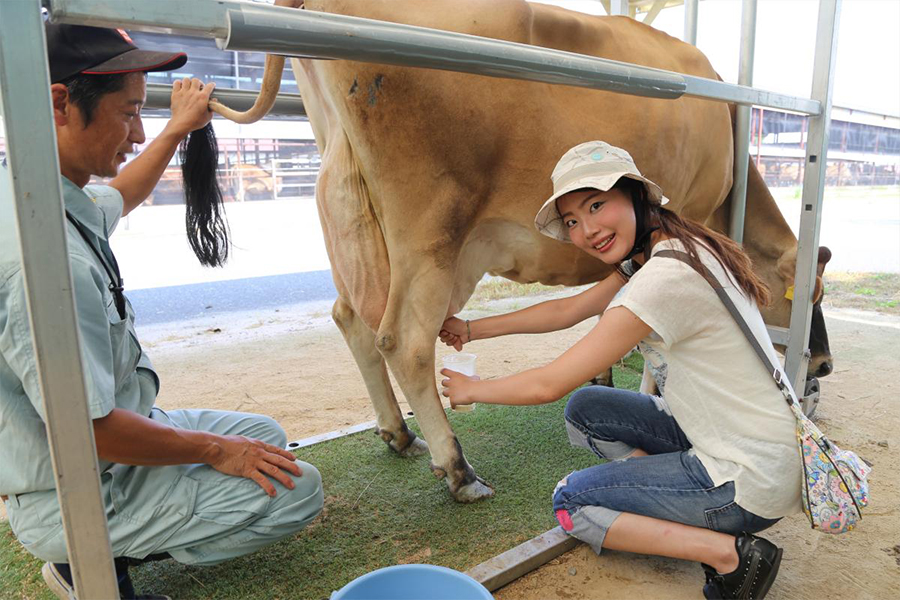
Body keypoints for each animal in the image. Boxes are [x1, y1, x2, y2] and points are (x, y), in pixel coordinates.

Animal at [209, 0, 828, 502]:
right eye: (809, 294)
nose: (821, 364)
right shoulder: (690, 209)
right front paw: (652, 394)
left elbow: (609, 306)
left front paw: (603, 374)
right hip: (432, 228)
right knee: (403, 339)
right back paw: (458, 470)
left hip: (348, 207)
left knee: (351, 318)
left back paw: (398, 433)